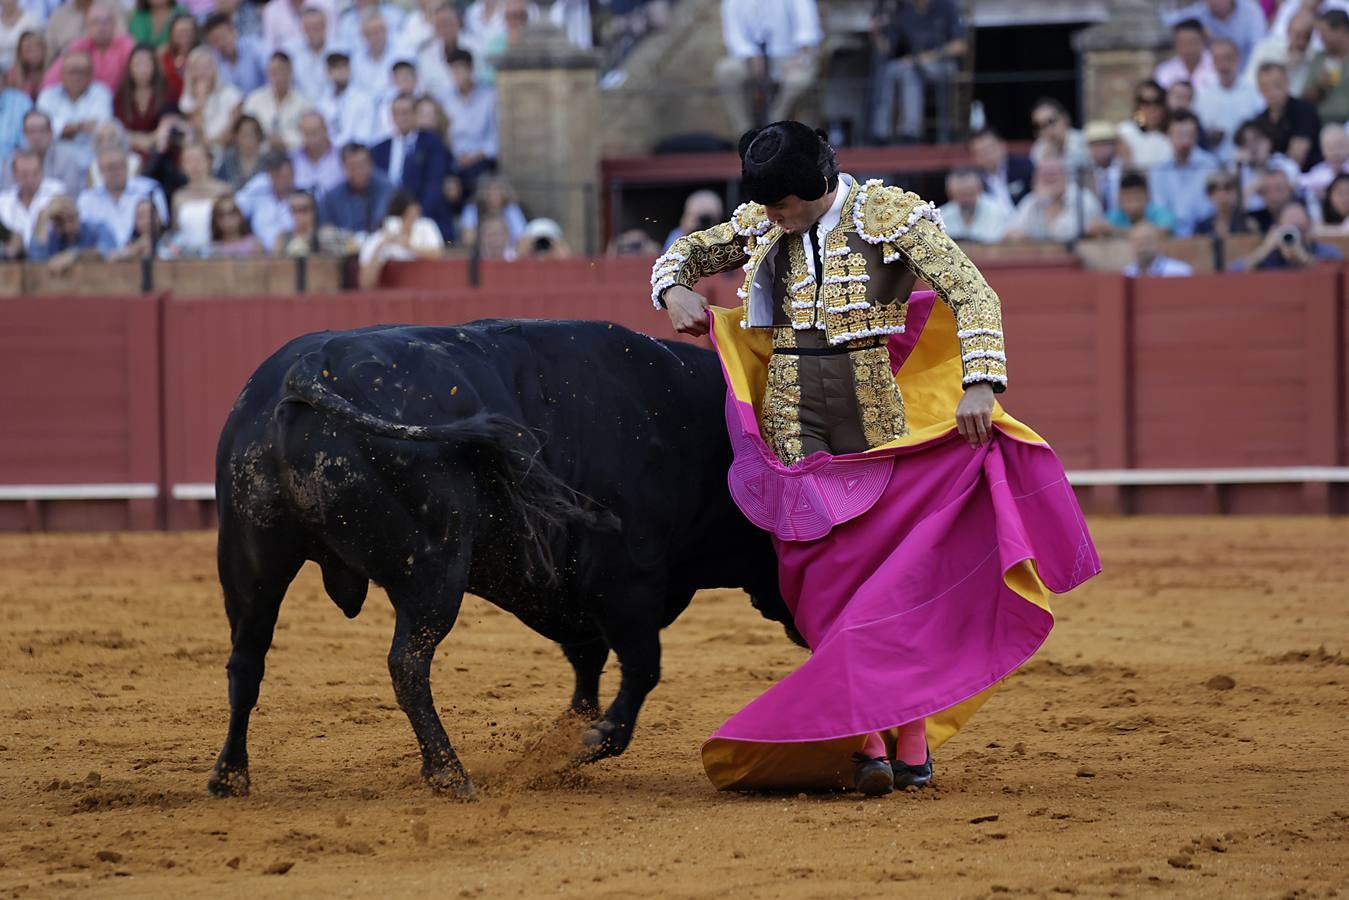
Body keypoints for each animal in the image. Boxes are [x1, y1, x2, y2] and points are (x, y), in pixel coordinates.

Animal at [209, 319, 798, 798]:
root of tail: (310, 368)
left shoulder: (574, 593)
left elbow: (587, 665)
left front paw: (562, 741)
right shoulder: (627, 580)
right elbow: (640, 669)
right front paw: (590, 741)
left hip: (249, 562)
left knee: (246, 660)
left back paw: (230, 776)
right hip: (433, 568)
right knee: (407, 664)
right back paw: (449, 774)